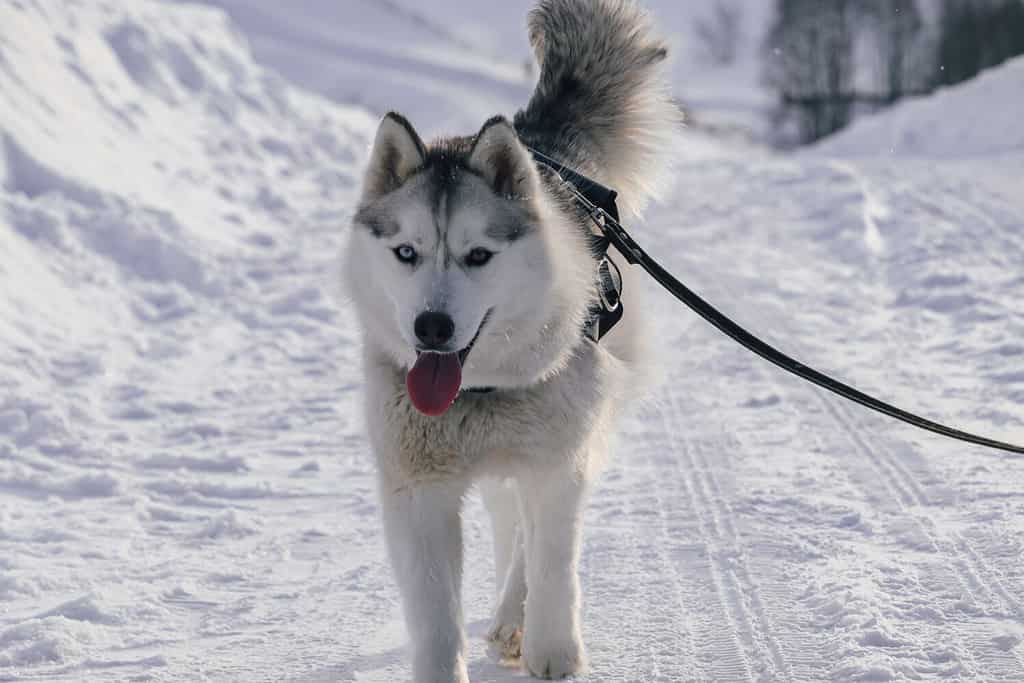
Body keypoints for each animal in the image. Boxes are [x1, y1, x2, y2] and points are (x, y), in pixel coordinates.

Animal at [344, 2, 679, 679]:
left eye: (478, 255)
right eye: (406, 252)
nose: (431, 327)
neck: (477, 391)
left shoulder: (557, 466)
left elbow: (551, 565)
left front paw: (554, 652)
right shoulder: (418, 493)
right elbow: (436, 617)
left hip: (575, 435)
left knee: (528, 538)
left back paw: (514, 619)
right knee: (507, 521)